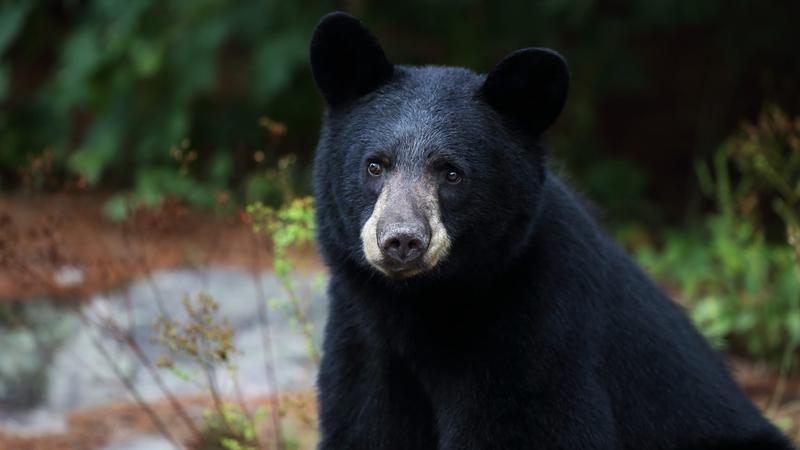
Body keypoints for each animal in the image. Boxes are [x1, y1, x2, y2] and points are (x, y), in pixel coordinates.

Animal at [308, 10, 792, 450]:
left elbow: (528, 426)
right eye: (374, 165)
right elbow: (362, 426)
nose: (402, 240)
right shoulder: (363, 345)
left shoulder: (539, 330)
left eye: (452, 174)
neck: (421, 306)